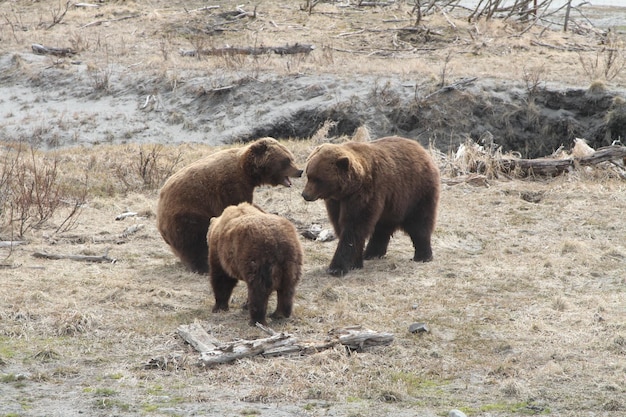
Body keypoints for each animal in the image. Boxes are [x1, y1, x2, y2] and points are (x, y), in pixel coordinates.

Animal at [156, 136, 302, 272]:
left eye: (291, 157)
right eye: (286, 160)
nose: (300, 171)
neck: (248, 172)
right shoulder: (230, 187)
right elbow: (236, 206)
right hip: (187, 214)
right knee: (193, 243)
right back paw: (203, 267)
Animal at [298, 135, 436, 274]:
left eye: (318, 179)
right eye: (308, 175)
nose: (305, 195)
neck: (348, 189)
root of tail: (420, 148)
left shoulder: (366, 194)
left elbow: (353, 226)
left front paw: (337, 268)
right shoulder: (337, 202)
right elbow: (340, 224)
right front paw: (356, 262)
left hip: (416, 192)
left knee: (419, 223)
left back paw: (423, 256)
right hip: (391, 204)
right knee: (382, 228)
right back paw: (372, 253)